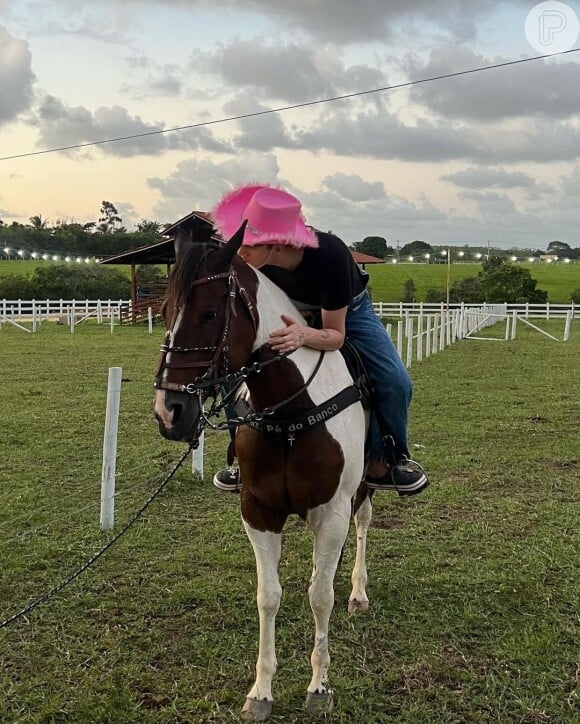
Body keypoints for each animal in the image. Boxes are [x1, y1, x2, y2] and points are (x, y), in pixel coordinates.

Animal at [153, 223, 372, 720]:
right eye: (165, 311)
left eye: (209, 314)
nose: (169, 412)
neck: (292, 411)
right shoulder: (259, 512)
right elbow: (268, 597)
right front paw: (261, 691)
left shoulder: (331, 512)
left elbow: (320, 595)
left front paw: (319, 686)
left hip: (367, 486)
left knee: (363, 526)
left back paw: (358, 593)